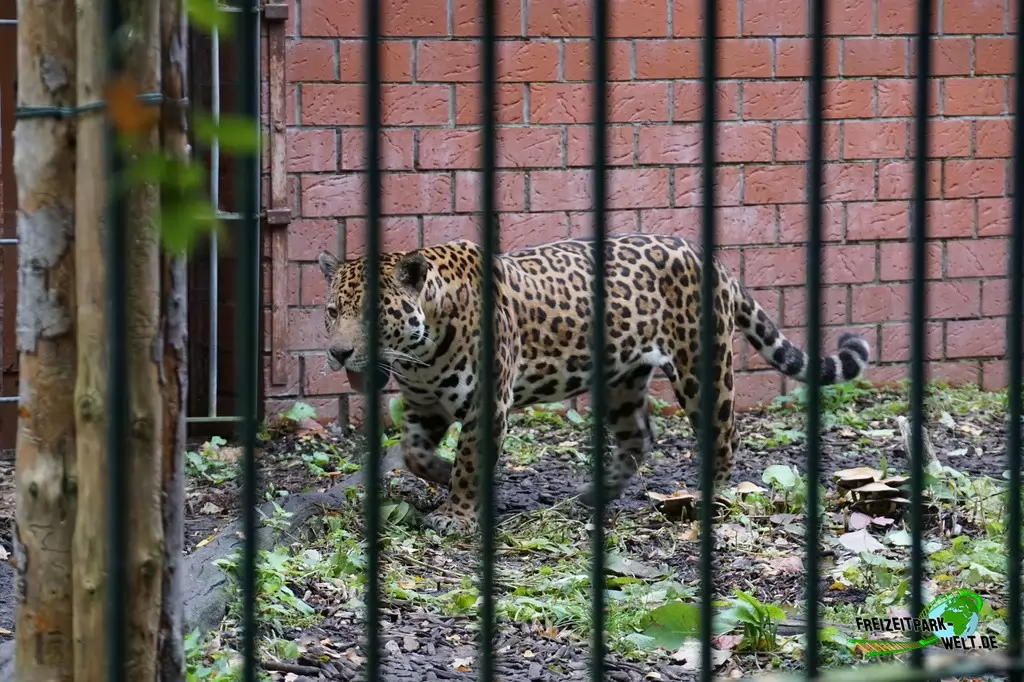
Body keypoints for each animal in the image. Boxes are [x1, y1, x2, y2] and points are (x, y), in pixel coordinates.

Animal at [317, 234, 870, 535]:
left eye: (372, 315)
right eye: (331, 311)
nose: (338, 353)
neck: (420, 352)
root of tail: (710, 257)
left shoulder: (487, 403)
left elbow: (472, 459)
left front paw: (457, 510)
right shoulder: (423, 404)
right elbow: (414, 455)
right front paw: (443, 476)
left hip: (701, 367)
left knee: (724, 434)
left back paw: (709, 496)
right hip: (622, 380)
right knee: (638, 439)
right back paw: (592, 497)